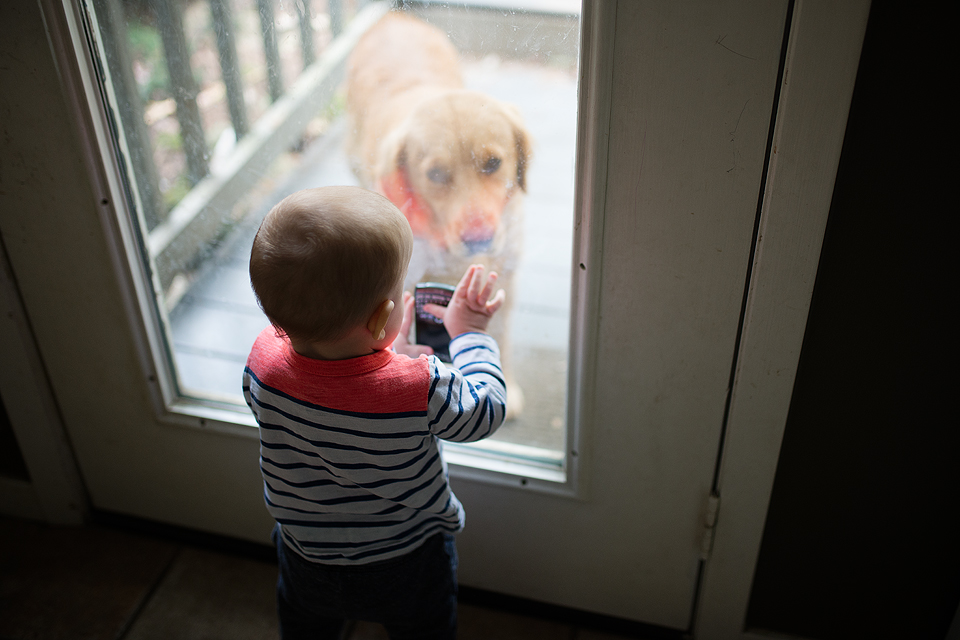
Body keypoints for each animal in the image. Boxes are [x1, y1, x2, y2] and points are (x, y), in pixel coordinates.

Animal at [344, 12, 532, 418]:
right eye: (436, 175)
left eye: (493, 163)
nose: (480, 239)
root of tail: (393, 16)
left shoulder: (505, 273)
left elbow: (499, 334)